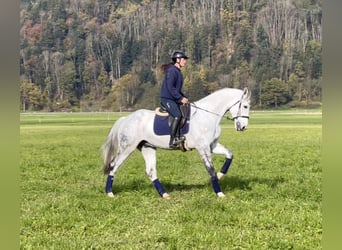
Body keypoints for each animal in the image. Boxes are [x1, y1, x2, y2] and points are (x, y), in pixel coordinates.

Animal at [101, 87, 251, 198]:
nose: (243, 127)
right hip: (127, 148)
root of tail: (126, 119)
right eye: (245, 106)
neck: (207, 115)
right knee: (114, 166)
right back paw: (109, 193)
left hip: (148, 147)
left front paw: (221, 175)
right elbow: (210, 169)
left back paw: (164, 194)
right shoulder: (202, 147)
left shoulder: (212, 146)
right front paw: (219, 193)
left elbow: (230, 155)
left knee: (150, 171)